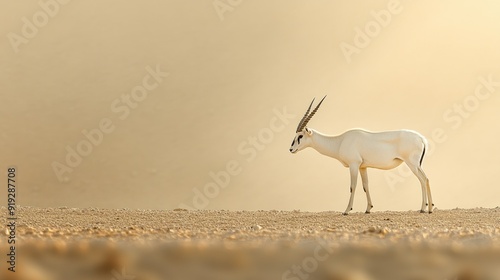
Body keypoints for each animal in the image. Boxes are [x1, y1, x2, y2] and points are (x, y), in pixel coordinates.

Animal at [290, 96, 434, 214]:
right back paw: (429, 207)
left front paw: (346, 210)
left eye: (300, 136)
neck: (340, 141)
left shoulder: (353, 165)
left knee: (422, 179)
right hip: (416, 164)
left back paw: (424, 208)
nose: (291, 149)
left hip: (412, 164)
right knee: (426, 179)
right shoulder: (362, 167)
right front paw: (368, 209)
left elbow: (352, 186)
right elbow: (366, 186)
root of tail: (421, 138)